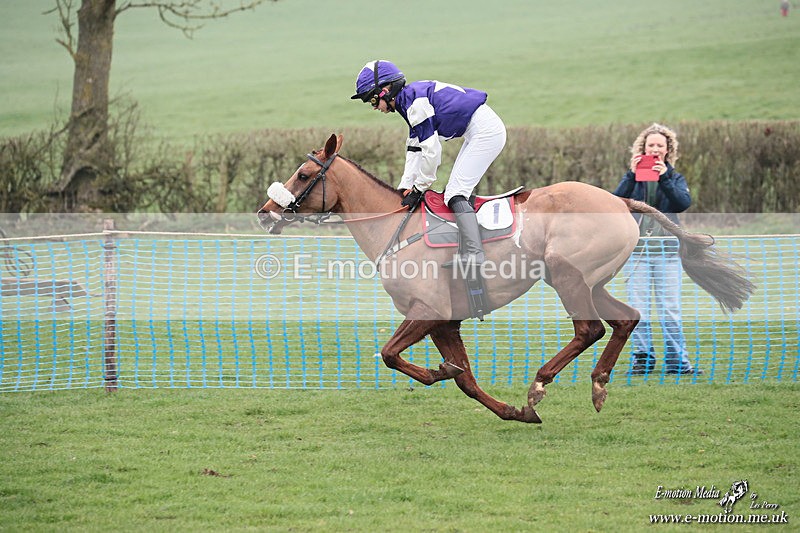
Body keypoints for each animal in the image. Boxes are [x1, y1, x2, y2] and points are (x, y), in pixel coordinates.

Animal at [257, 134, 754, 423]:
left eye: (303, 173)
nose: (265, 212)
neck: (394, 228)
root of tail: (621, 201)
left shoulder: (429, 310)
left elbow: (390, 354)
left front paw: (439, 372)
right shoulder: (445, 321)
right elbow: (465, 380)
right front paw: (509, 411)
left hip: (567, 277)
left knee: (589, 328)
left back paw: (539, 385)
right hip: (591, 282)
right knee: (626, 319)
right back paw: (597, 385)